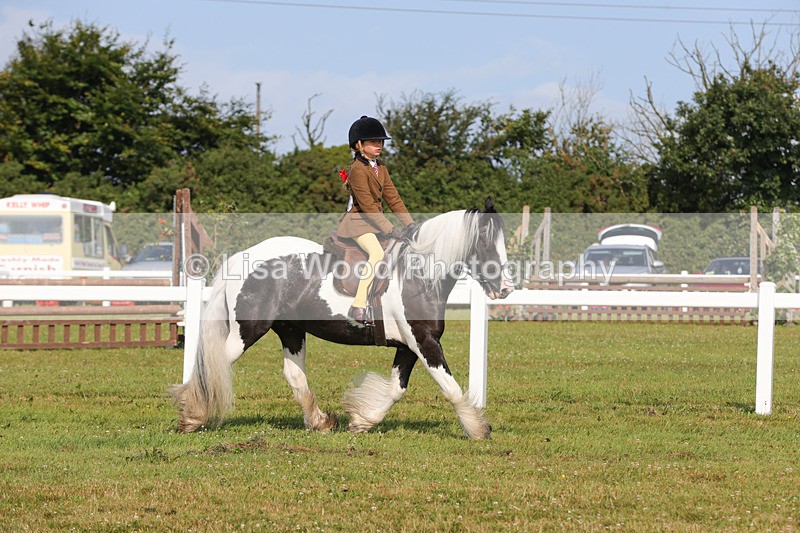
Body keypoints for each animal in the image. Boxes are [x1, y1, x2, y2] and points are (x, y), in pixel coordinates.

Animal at [170, 197, 514, 439]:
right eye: (485, 243)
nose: (506, 288)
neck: (418, 276)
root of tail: (241, 259)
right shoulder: (425, 343)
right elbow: (451, 387)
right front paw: (478, 428)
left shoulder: (409, 346)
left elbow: (396, 389)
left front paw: (362, 421)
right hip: (248, 331)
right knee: (214, 362)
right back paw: (193, 416)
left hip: (291, 330)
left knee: (294, 375)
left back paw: (320, 421)